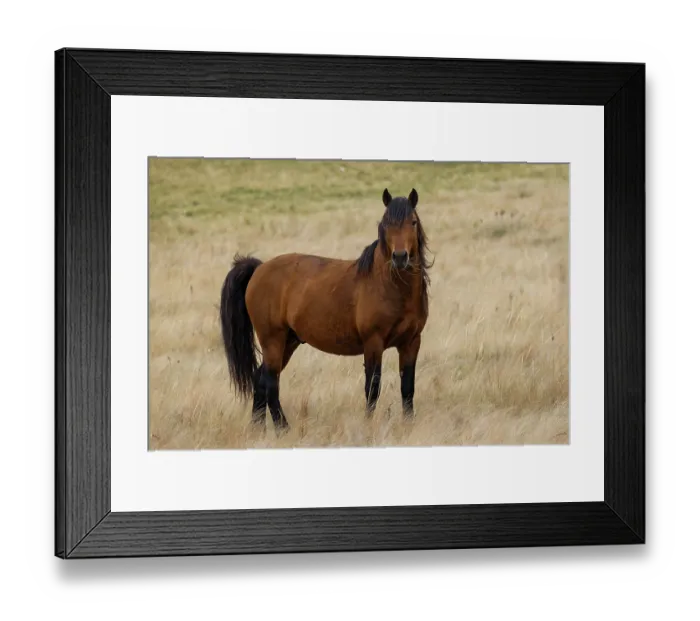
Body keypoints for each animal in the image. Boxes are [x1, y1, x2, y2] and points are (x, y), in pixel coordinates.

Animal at [219, 187, 432, 433]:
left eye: (413, 222)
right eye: (386, 223)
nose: (399, 257)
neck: (390, 286)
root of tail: (259, 269)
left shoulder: (411, 342)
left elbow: (407, 387)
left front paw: (408, 425)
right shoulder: (373, 342)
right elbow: (372, 388)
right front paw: (368, 426)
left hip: (288, 342)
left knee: (259, 378)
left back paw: (259, 428)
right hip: (273, 339)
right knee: (271, 382)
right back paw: (284, 429)